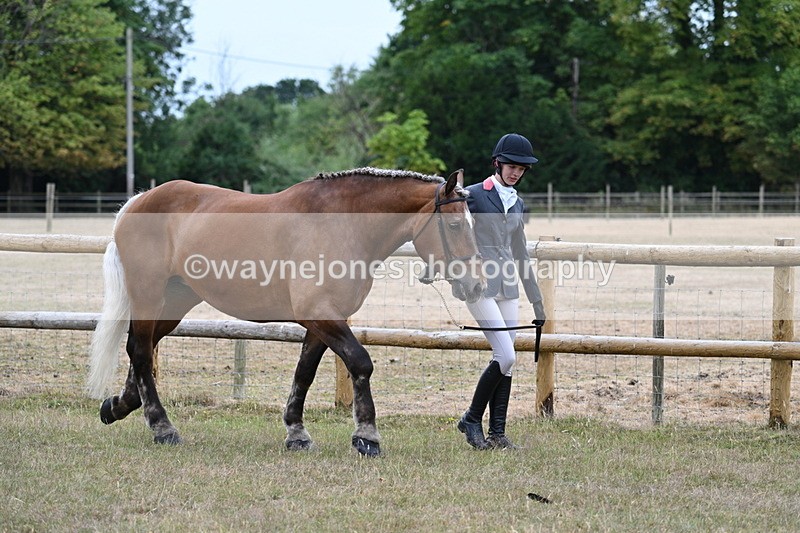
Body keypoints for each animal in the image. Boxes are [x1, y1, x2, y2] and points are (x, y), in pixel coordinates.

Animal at [87, 167, 485, 456]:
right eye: (454, 225)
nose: (477, 285)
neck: (342, 224)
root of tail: (137, 201)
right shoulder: (321, 315)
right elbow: (360, 362)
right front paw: (366, 436)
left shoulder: (322, 321)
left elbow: (304, 373)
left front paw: (297, 433)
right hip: (149, 295)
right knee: (140, 350)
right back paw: (162, 427)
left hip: (176, 302)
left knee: (140, 348)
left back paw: (119, 405)